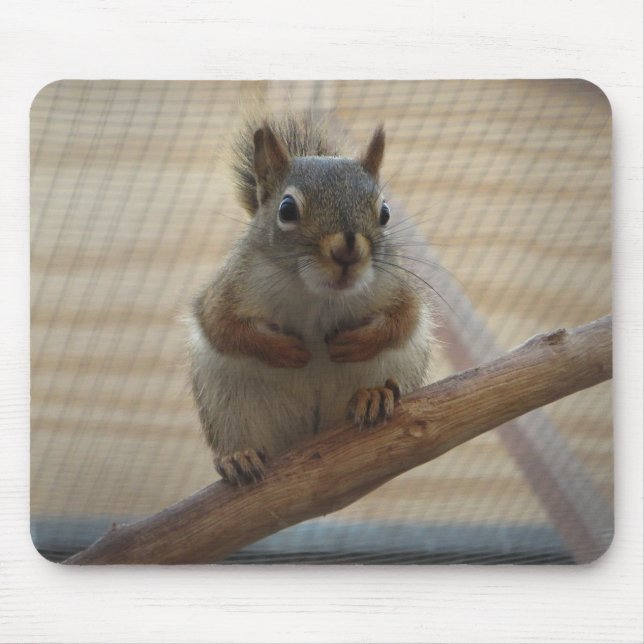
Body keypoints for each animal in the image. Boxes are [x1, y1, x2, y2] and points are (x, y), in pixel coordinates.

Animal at [188, 114, 434, 485]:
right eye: (287, 209)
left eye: (385, 212)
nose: (347, 250)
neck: (318, 294)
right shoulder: (229, 290)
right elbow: (222, 327)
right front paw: (283, 350)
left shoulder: (396, 287)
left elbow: (404, 319)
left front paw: (356, 344)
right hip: (228, 405)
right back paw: (238, 457)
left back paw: (373, 395)